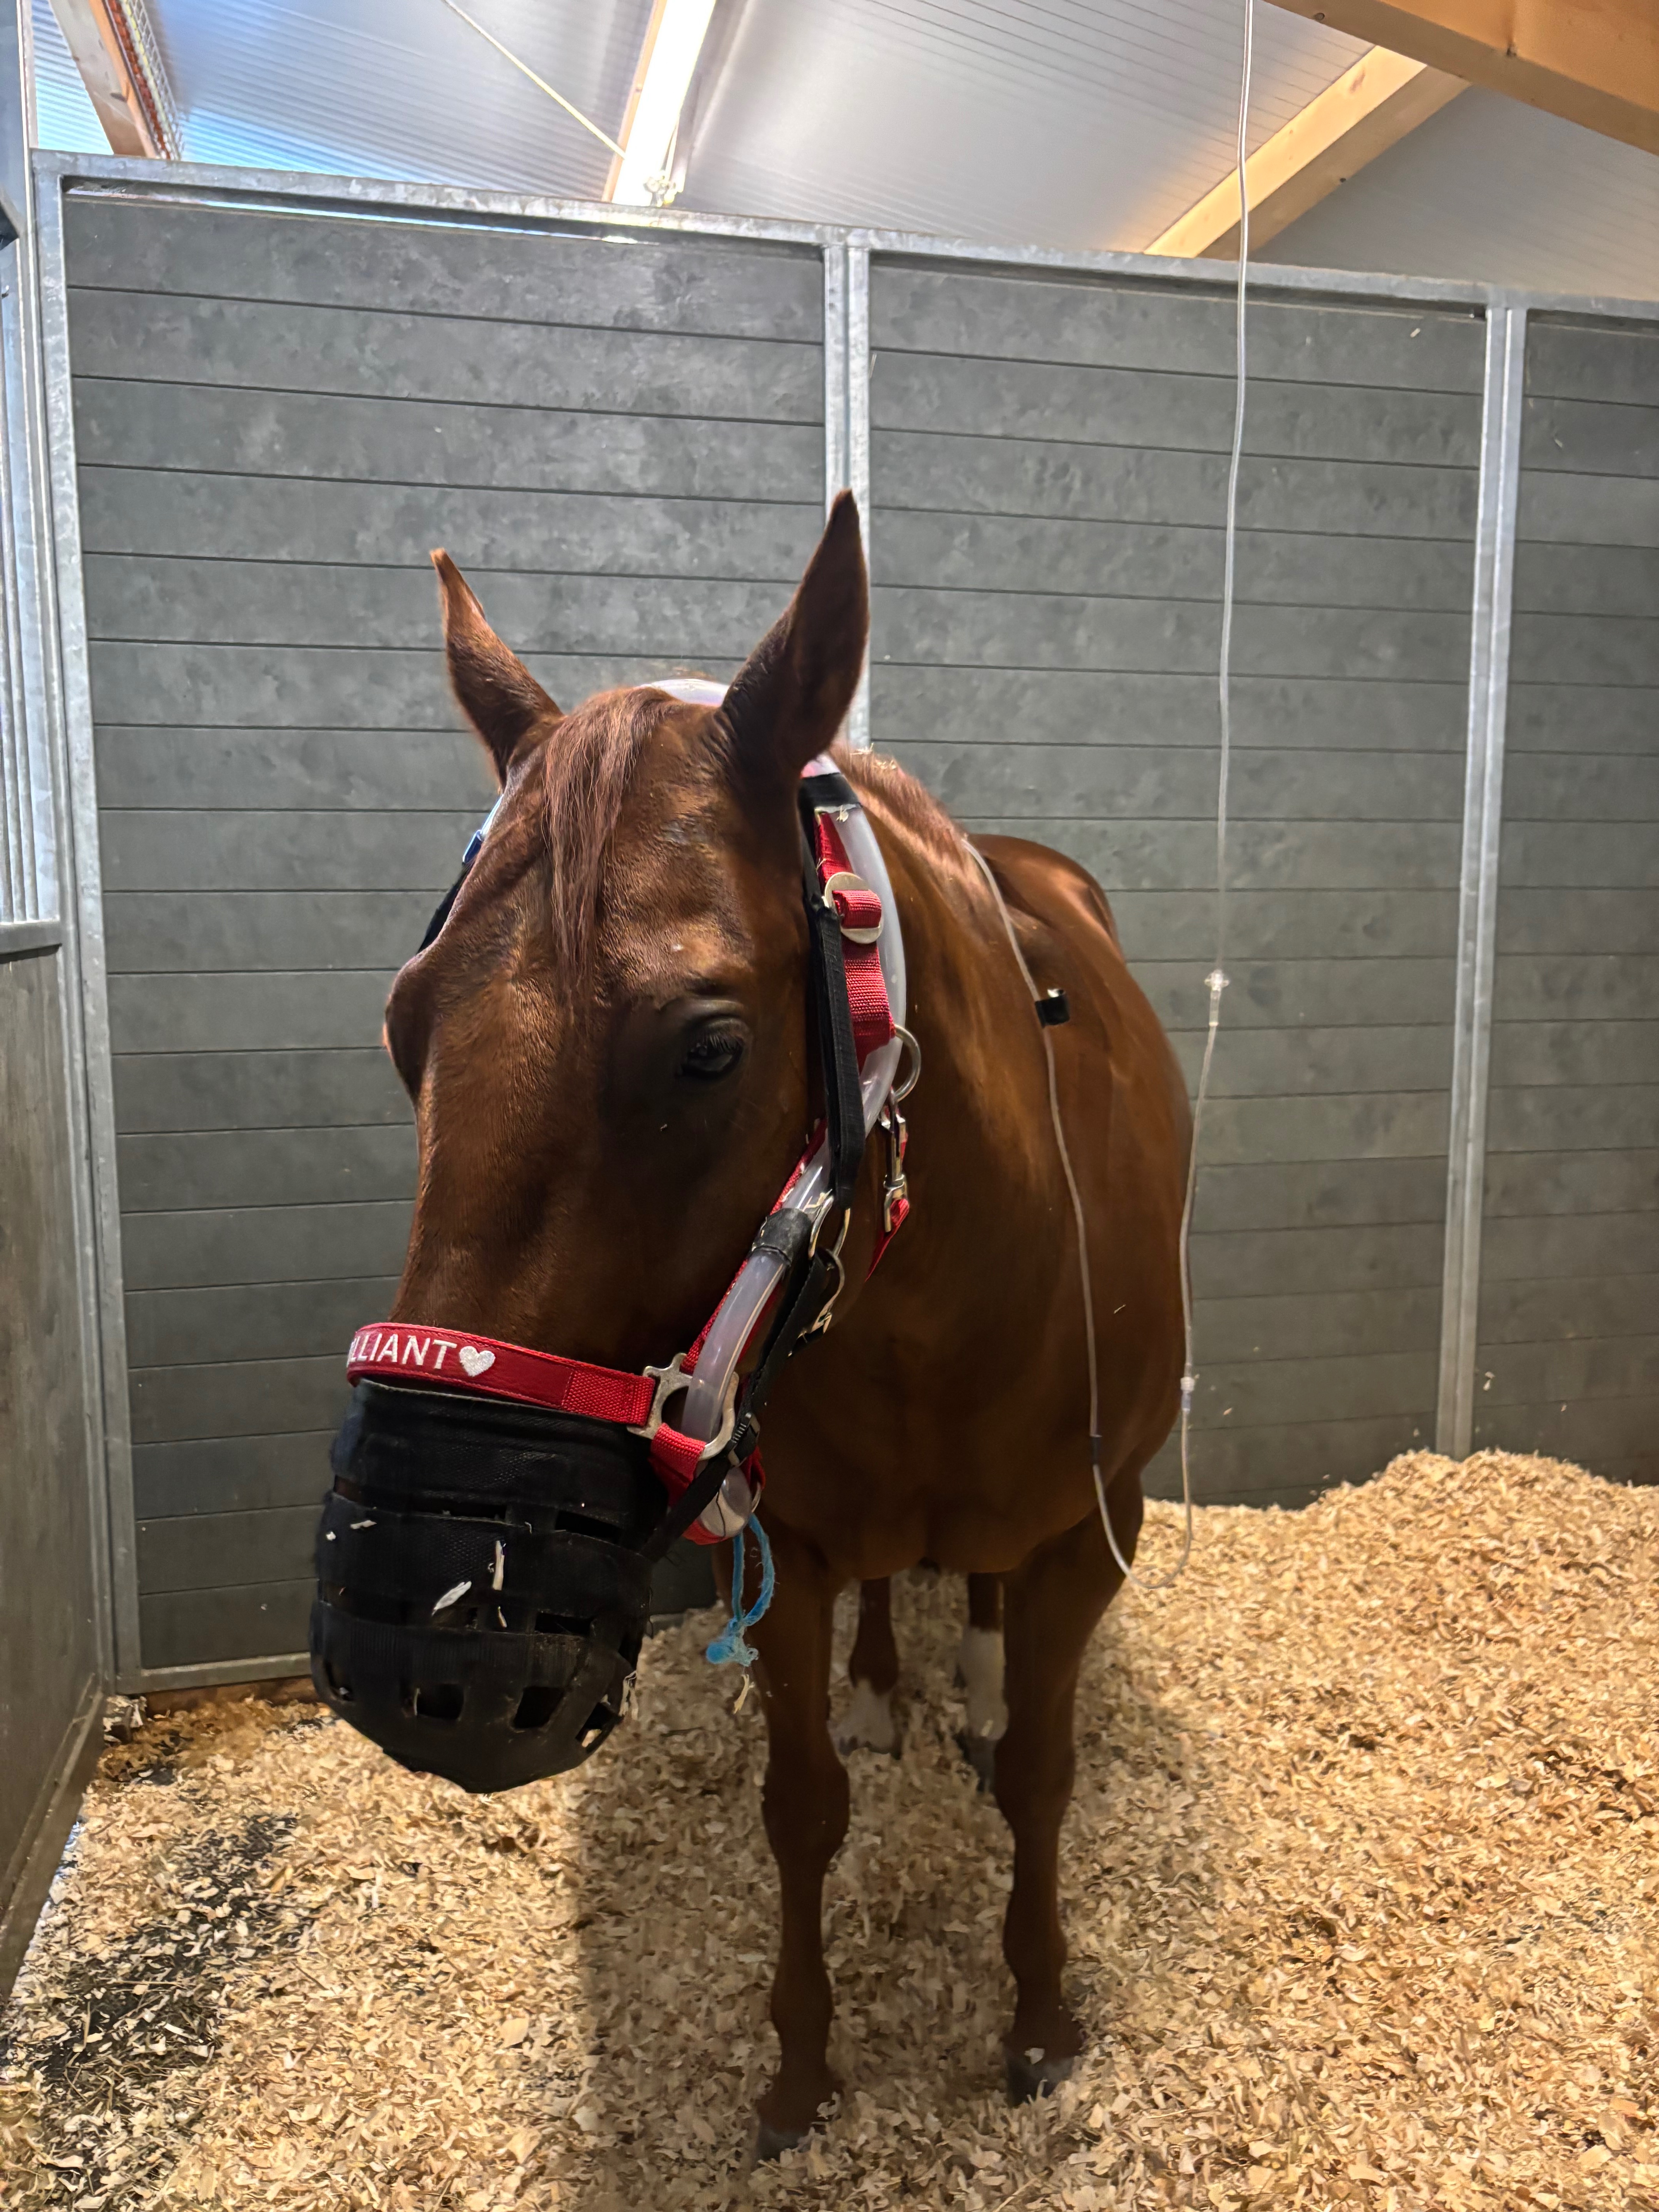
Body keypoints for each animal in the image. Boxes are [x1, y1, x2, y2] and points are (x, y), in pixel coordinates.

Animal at [361, 491, 1188, 2152]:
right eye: (407, 1027)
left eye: (708, 1048)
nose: (424, 1600)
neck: (941, 1300)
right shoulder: (792, 1551)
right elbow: (799, 1807)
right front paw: (800, 2073)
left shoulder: (1092, 1528)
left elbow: (1041, 1778)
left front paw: (1039, 2021)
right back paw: (888, 1687)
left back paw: (973, 1678)